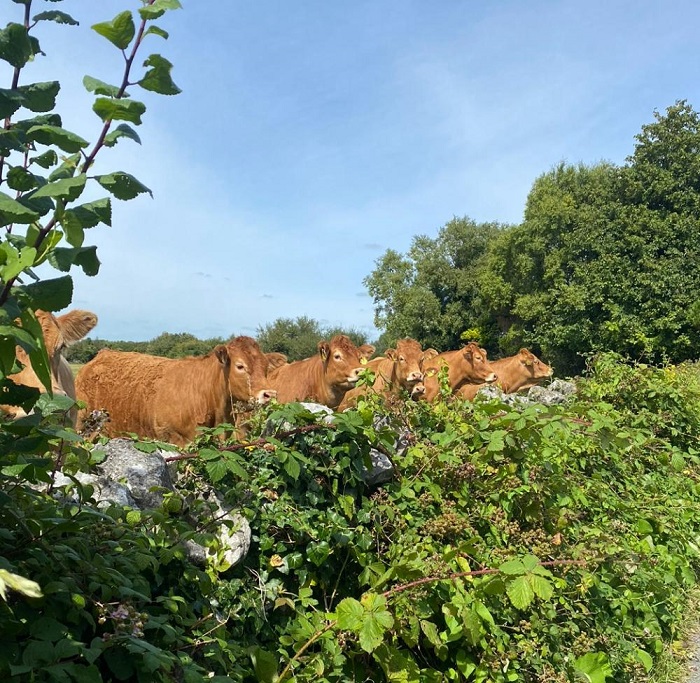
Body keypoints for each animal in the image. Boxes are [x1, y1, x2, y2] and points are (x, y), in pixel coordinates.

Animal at [75, 336, 279, 446]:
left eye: (266, 367)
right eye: (240, 366)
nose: (269, 394)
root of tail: (101, 355)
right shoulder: (174, 438)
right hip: (81, 425)